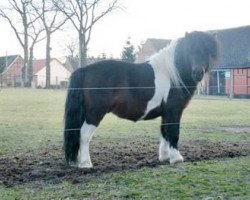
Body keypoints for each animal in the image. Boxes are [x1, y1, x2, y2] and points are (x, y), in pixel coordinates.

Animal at [64, 31, 219, 169]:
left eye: (207, 51)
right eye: (190, 50)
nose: (198, 73)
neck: (172, 74)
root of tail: (84, 70)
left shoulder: (166, 113)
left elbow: (164, 132)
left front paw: (164, 157)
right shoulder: (174, 111)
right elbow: (173, 132)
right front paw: (176, 158)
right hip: (94, 113)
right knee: (84, 135)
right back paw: (86, 164)